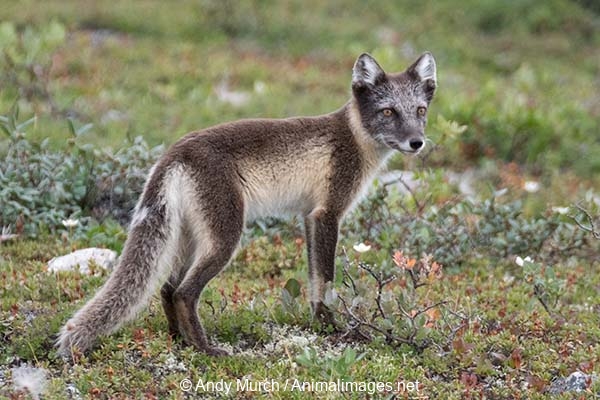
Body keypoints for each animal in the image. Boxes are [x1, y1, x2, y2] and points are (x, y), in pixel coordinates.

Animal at [57, 51, 437, 357]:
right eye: (388, 112)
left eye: (420, 111)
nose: (417, 142)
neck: (355, 140)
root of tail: (173, 153)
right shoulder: (327, 213)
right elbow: (326, 280)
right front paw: (332, 327)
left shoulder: (309, 216)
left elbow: (314, 278)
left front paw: (319, 324)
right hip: (225, 238)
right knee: (183, 293)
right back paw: (206, 349)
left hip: (189, 237)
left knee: (166, 288)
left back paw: (179, 341)